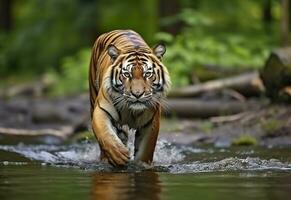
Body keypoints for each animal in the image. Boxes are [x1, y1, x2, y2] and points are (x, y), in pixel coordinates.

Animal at [89, 29, 171, 166]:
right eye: (127, 74)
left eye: (147, 74)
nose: (137, 94)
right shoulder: (101, 110)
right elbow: (105, 135)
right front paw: (118, 154)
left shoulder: (151, 122)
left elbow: (145, 150)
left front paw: (141, 164)